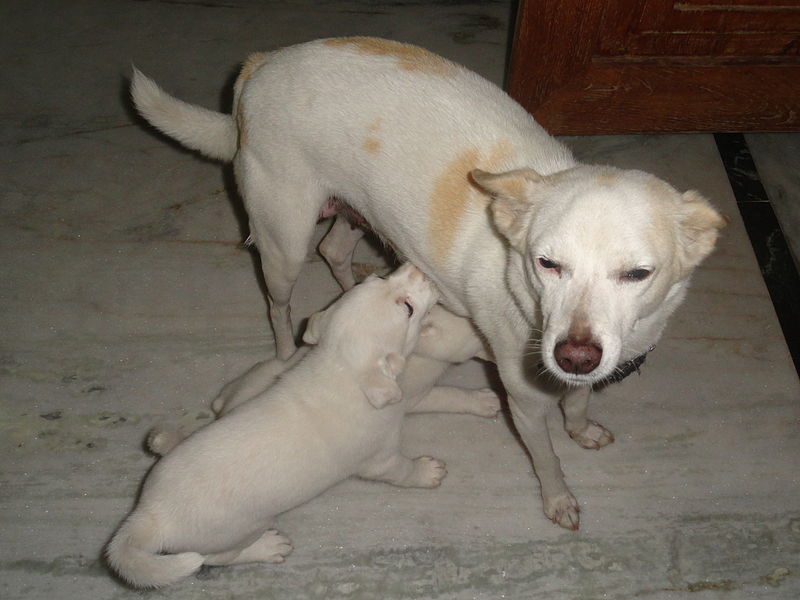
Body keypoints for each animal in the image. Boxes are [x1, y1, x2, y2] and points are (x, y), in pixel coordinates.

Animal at [104, 264, 444, 588]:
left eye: (377, 277)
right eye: (408, 308)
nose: (417, 267)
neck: (339, 367)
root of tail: (151, 515)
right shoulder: (380, 459)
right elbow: (402, 470)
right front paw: (427, 472)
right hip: (239, 532)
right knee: (214, 559)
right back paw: (267, 548)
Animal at [131, 36, 724, 528]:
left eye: (637, 274)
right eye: (546, 263)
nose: (574, 355)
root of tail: (259, 67)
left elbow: (577, 404)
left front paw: (581, 428)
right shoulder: (525, 403)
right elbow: (547, 458)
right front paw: (559, 500)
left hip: (354, 216)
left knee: (334, 251)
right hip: (283, 243)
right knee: (280, 307)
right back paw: (283, 353)